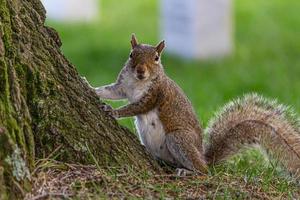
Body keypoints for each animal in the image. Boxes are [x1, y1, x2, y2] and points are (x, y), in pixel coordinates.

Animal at [89, 34, 300, 178]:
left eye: (156, 58)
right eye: (131, 54)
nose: (141, 70)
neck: (137, 82)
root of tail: (204, 157)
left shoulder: (155, 94)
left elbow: (135, 107)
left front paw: (113, 111)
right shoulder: (122, 87)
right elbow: (110, 91)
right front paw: (91, 87)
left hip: (178, 138)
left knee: (203, 170)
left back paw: (188, 171)